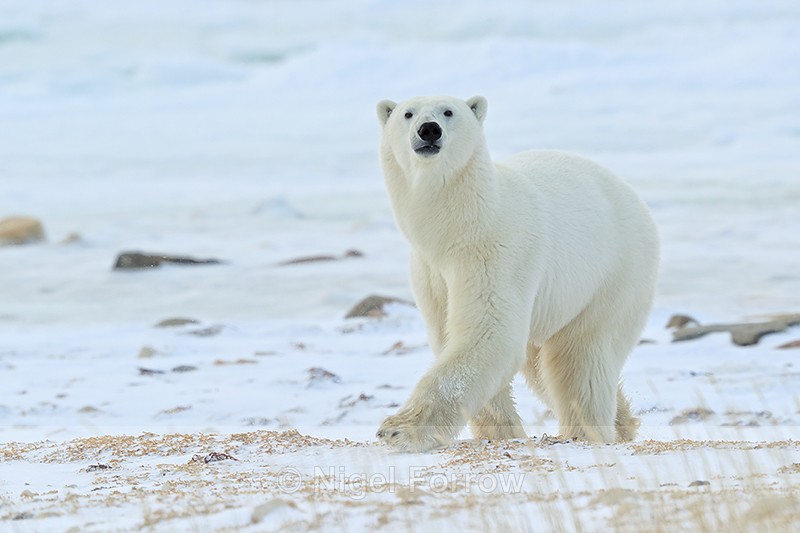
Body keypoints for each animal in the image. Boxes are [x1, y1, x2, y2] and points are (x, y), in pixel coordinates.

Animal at [374, 95, 659, 452]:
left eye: (448, 112)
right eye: (408, 113)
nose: (429, 130)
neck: (456, 228)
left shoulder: (493, 254)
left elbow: (488, 332)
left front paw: (399, 429)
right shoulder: (430, 272)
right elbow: (451, 335)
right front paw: (501, 431)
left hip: (613, 274)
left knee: (579, 358)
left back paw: (586, 431)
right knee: (543, 365)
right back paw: (624, 423)